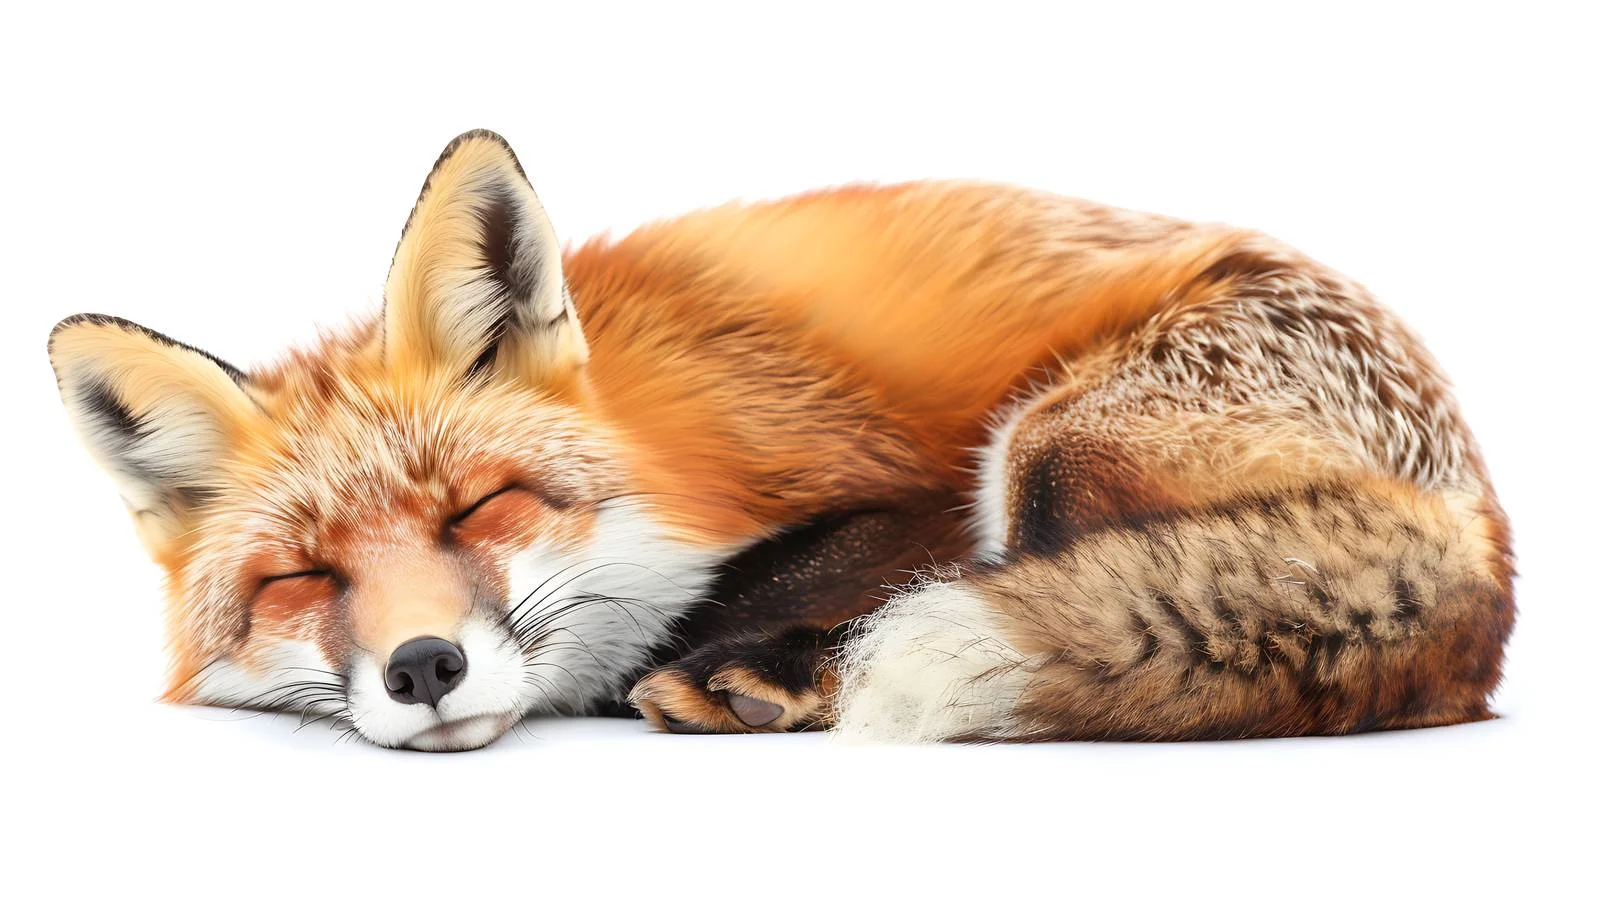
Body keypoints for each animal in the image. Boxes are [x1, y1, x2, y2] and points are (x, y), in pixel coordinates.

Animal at [47, 130, 1514, 751]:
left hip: (1053, 441)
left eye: (479, 509)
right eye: (300, 578)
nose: (421, 667)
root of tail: (1489, 552)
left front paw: (733, 659)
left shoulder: (920, 479)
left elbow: (801, 570)